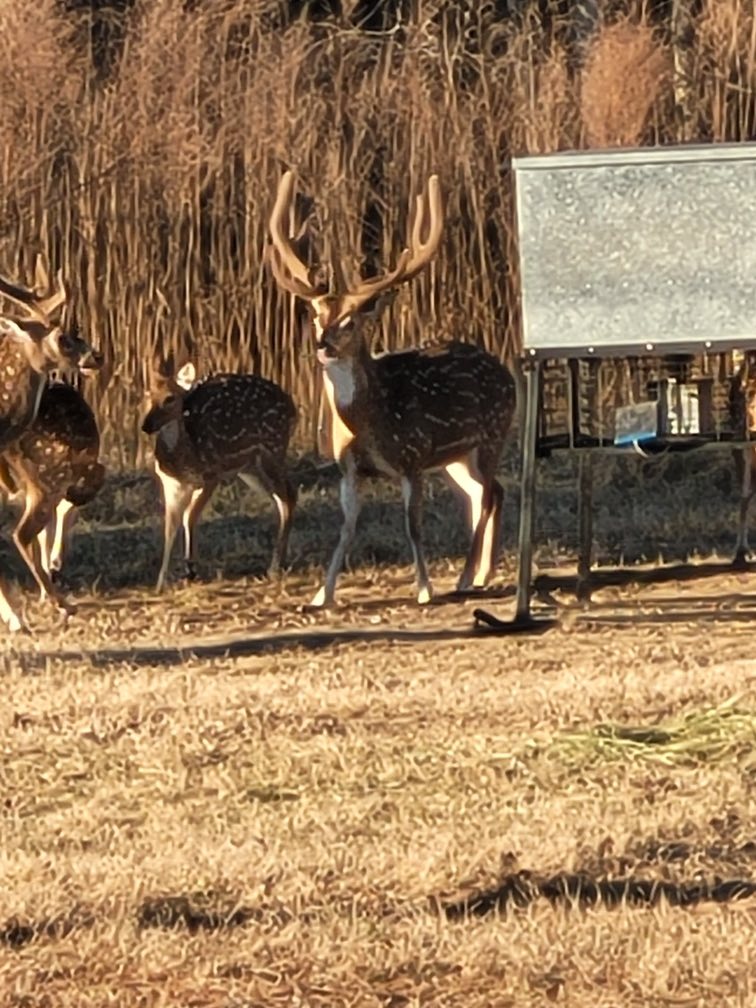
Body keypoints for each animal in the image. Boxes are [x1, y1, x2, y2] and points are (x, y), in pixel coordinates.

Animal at [141, 352, 298, 591]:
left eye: (170, 398)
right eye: (147, 394)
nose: (146, 425)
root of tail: (293, 409)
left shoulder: (211, 475)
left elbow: (189, 517)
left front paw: (191, 572)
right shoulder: (171, 484)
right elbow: (170, 527)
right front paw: (161, 583)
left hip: (272, 449)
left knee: (288, 495)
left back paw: (274, 567)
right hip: (250, 468)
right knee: (282, 498)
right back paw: (277, 563)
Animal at [267, 170, 516, 608]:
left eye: (350, 321)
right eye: (315, 316)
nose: (323, 345)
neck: (371, 420)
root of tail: (508, 373)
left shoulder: (412, 456)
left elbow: (412, 524)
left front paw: (424, 589)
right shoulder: (347, 467)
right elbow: (346, 527)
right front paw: (321, 594)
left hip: (491, 435)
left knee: (489, 493)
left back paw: (465, 576)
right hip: (455, 457)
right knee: (488, 492)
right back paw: (481, 572)